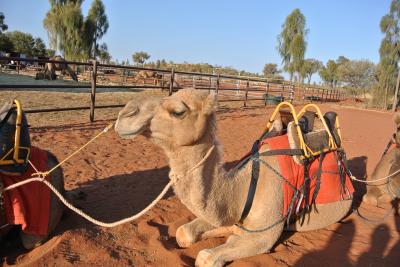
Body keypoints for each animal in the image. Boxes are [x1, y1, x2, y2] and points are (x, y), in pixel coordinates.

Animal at [114, 89, 352, 266]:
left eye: (178, 111)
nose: (125, 114)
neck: (243, 189)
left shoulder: (265, 233)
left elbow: (206, 257)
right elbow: (184, 232)